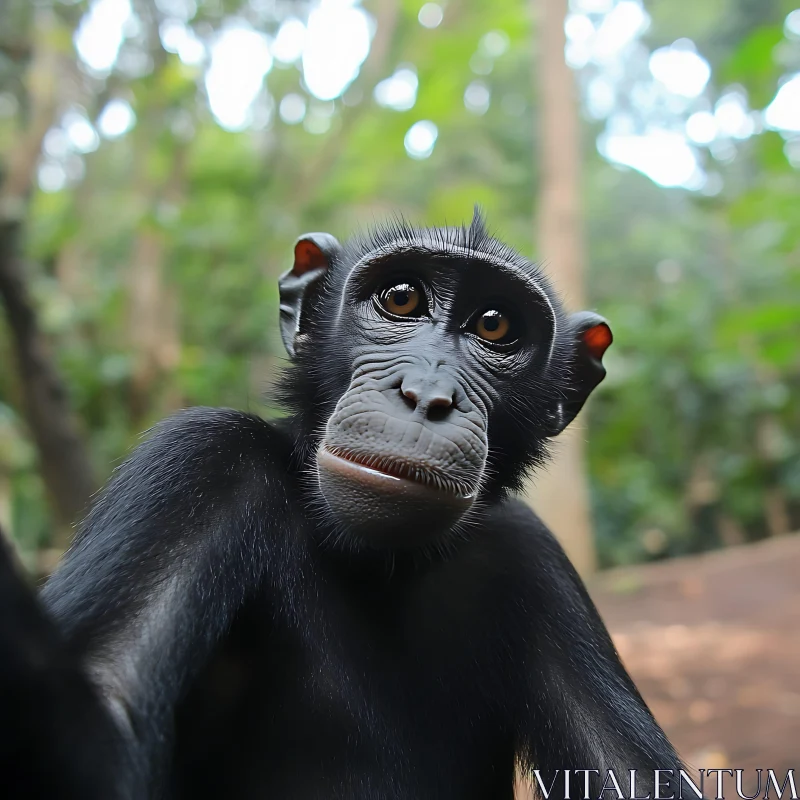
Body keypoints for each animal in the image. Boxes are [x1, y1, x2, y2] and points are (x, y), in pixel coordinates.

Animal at [1, 212, 688, 800]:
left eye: (494, 325)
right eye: (401, 299)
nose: (426, 394)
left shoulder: (532, 554)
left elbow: (630, 773)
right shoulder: (196, 460)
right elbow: (106, 717)